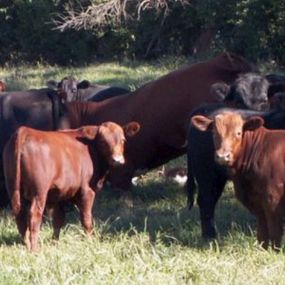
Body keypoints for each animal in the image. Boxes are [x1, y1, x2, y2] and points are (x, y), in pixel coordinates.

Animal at [2, 121, 140, 250]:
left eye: (123, 140)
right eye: (103, 141)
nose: (118, 160)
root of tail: (24, 131)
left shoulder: (59, 193)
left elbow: (58, 220)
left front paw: (55, 242)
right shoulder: (87, 191)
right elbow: (86, 220)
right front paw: (90, 242)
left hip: (13, 188)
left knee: (19, 214)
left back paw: (26, 244)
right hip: (39, 191)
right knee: (34, 216)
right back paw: (35, 249)